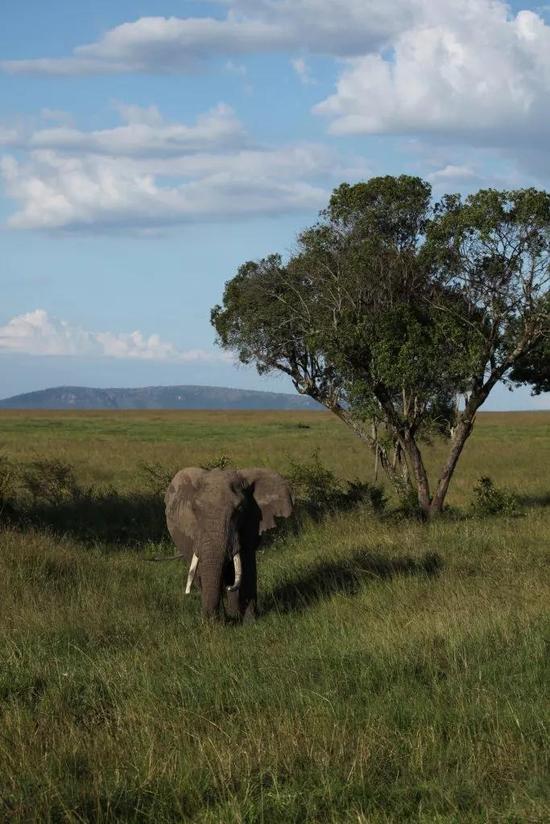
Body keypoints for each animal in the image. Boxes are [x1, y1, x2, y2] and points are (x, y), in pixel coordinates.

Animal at [163, 470, 294, 616]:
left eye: (239, 510)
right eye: (194, 509)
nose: (209, 618)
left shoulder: (251, 522)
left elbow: (246, 563)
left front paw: (249, 619)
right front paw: (223, 620)